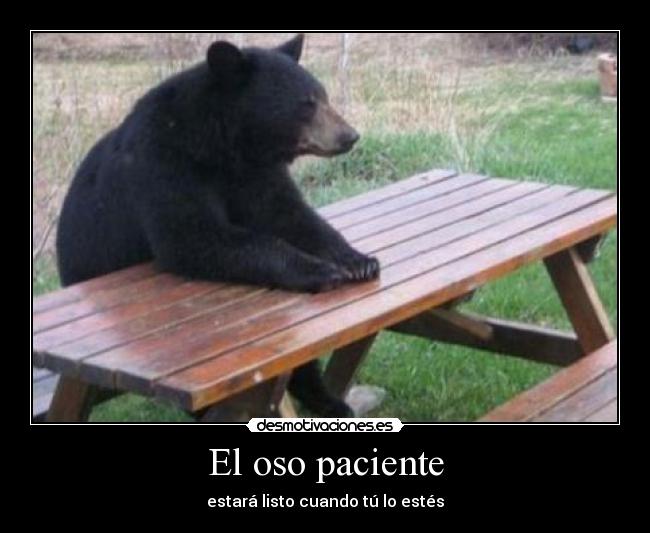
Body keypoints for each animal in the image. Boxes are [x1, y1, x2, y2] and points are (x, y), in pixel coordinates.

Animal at [56, 34, 380, 419]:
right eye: (306, 104)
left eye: (323, 95)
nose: (350, 136)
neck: (224, 146)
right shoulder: (162, 165)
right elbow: (195, 237)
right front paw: (320, 270)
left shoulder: (255, 174)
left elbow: (291, 215)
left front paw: (358, 260)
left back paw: (328, 400)